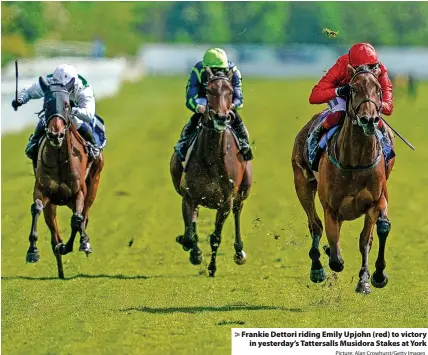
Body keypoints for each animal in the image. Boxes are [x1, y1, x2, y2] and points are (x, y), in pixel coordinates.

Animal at [25, 76, 104, 280]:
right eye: (46, 103)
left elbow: (77, 219)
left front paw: (79, 243)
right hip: (53, 204)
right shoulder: (42, 191)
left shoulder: (78, 193)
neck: (60, 159)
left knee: (83, 216)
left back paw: (80, 242)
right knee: (54, 229)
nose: (56, 134)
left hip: (93, 187)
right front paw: (33, 251)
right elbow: (36, 209)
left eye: (67, 104)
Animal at [170, 67, 252, 278]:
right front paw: (193, 251)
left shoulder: (225, 202)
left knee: (238, 211)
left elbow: (215, 237)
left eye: (230, 91)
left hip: (243, 191)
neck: (210, 158)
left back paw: (239, 252)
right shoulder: (188, 197)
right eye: (209, 91)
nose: (221, 118)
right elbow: (190, 234)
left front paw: (212, 267)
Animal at [292, 64, 396, 294]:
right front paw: (329, 256)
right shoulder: (331, 207)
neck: (356, 161)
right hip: (302, 184)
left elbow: (376, 232)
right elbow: (336, 259)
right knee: (315, 225)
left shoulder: (377, 200)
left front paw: (375, 276)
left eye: (378, 89)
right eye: (353, 89)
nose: (369, 119)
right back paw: (317, 267)